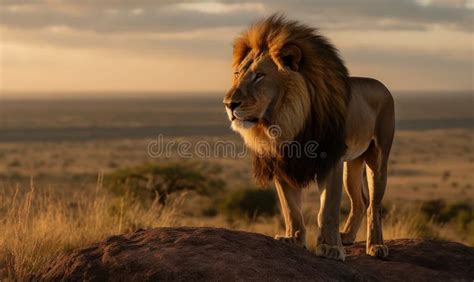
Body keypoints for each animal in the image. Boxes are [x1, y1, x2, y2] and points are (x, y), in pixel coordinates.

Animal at [224, 14, 394, 262]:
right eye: (237, 74)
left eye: (259, 76)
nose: (229, 104)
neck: (284, 121)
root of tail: (382, 85)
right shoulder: (282, 163)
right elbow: (290, 208)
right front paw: (293, 239)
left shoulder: (330, 159)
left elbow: (328, 209)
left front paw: (330, 248)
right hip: (353, 163)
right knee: (360, 202)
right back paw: (347, 236)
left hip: (378, 157)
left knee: (375, 204)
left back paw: (376, 246)